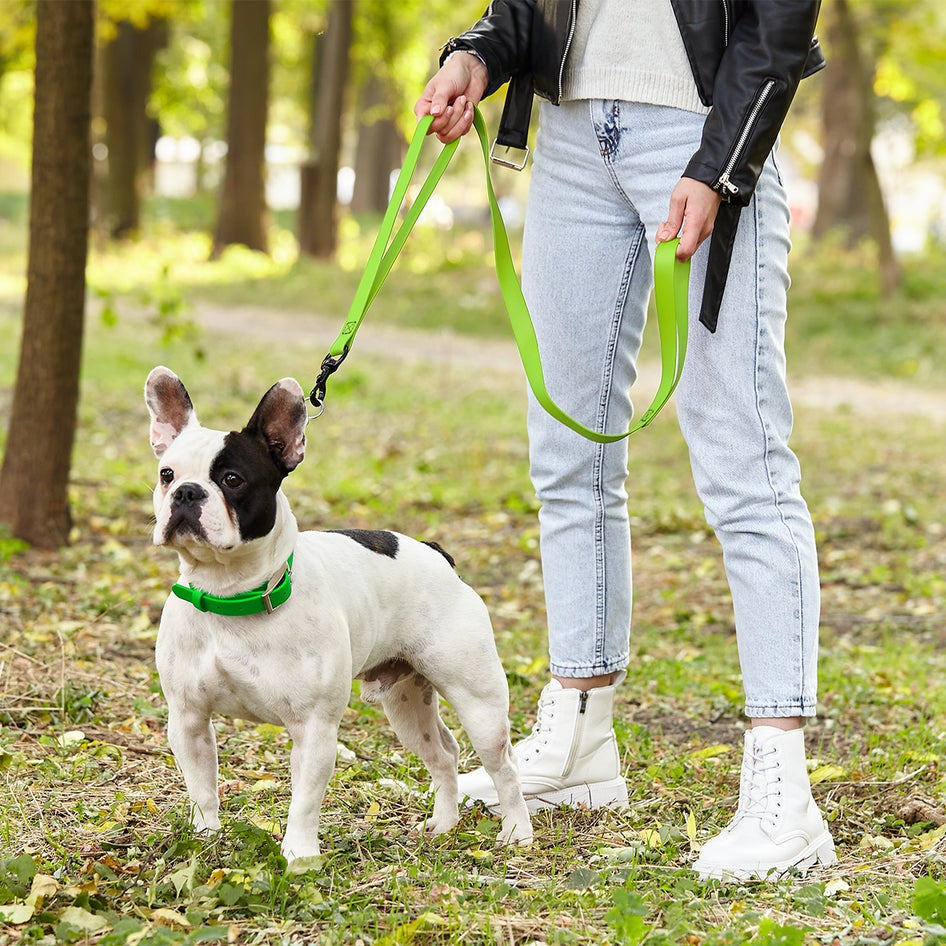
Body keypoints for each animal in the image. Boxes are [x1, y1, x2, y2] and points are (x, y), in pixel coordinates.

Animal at [146, 366, 532, 860]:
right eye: (166, 474)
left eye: (232, 479)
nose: (186, 492)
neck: (230, 593)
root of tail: (437, 554)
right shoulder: (189, 718)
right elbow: (202, 787)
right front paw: (205, 839)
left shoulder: (314, 728)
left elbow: (304, 801)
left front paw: (298, 856)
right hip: (406, 703)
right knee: (443, 754)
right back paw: (444, 824)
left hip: (478, 700)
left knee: (504, 765)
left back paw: (517, 831)